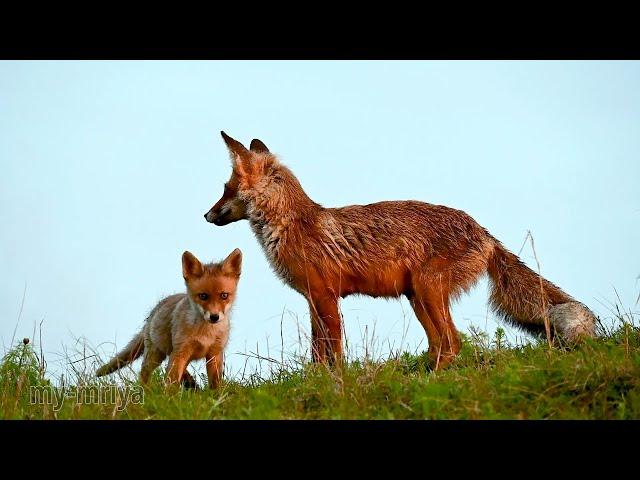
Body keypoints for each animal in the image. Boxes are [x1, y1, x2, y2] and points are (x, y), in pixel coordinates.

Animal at [204, 133, 596, 370]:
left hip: (427, 290)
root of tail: (484, 232)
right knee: (441, 345)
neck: (293, 226)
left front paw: (334, 385)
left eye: (225, 189)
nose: (206, 216)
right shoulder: (314, 300)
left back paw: (432, 380)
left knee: (454, 343)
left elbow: (333, 354)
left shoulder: (327, 298)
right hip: (417, 298)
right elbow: (318, 353)